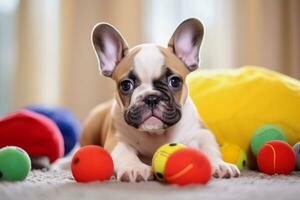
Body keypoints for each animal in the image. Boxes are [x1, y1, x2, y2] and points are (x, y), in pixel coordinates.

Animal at [79, 18, 239, 182]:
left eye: (174, 81)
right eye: (126, 85)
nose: (151, 98)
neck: (156, 134)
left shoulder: (201, 132)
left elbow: (209, 147)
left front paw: (219, 164)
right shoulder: (117, 139)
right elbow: (124, 153)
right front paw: (135, 168)